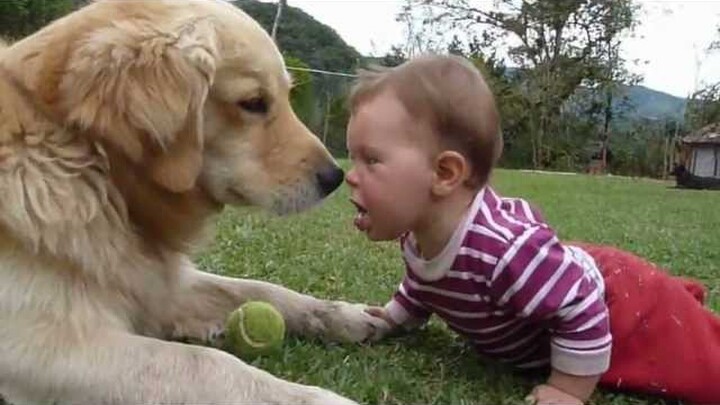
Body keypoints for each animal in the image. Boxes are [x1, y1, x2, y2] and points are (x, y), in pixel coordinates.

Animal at [0, 1, 388, 402]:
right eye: (253, 103)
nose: (335, 177)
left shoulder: (156, 282)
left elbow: (258, 289)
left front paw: (342, 313)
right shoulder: (39, 345)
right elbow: (205, 363)